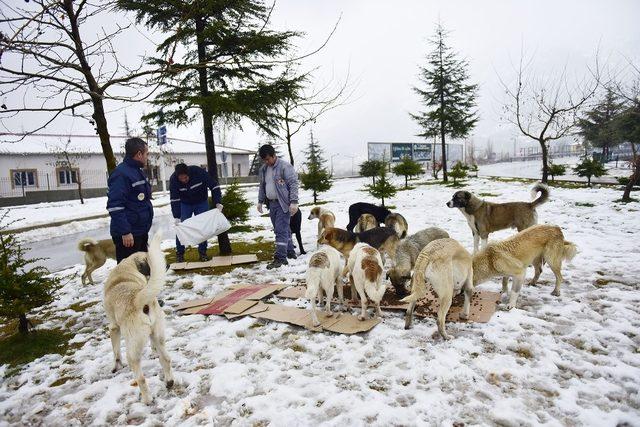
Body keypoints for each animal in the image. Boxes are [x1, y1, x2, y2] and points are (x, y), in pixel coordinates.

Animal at [103, 234, 174, 404]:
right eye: (149, 260)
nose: (168, 264)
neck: (126, 269)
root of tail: (138, 300)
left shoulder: (113, 327)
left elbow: (116, 352)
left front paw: (116, 367)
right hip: (158, 335)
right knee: (166, 359)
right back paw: (169, 382)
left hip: (133, 350)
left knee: (141, 378)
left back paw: (147, 399)